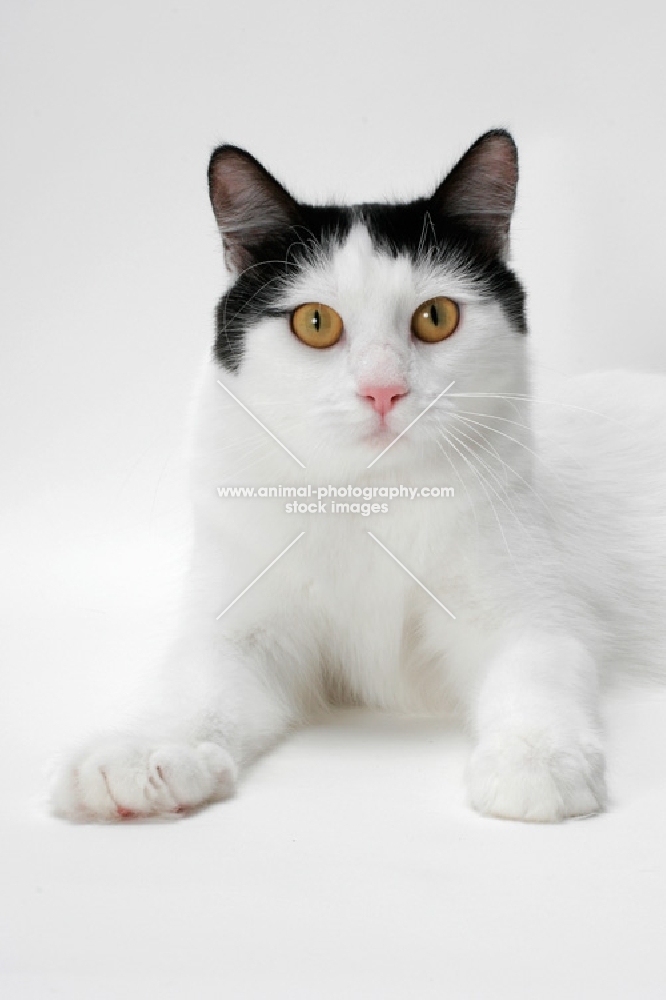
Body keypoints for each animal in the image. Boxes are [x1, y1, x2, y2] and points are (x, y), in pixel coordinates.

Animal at [53, 131, 666, 820]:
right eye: (315, 322)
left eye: (436, 317)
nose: (382, 391)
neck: (368, 495)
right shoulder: (239, 628)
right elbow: (194, 693)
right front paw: (141, 754)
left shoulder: (534, 616)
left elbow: (535, 675)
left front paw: (537, 759)